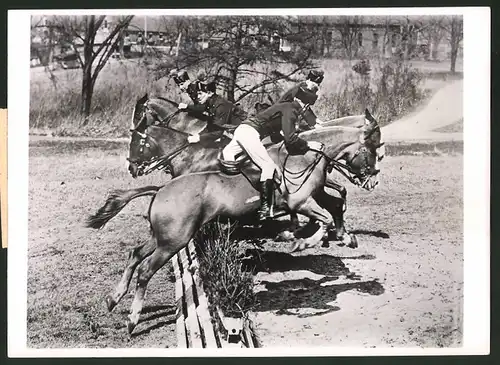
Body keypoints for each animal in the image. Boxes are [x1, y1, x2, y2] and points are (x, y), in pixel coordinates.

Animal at [86, 114, 382, 332]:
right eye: (371, 151)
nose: (372, 178)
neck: (306, 156)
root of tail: (160, 190)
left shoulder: (308, 199)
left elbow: (330, 212)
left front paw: (322, 237)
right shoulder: (301, 203)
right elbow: (323, 219)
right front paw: (301, 241)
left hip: (163, 237)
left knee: (135, 255)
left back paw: (114, 299)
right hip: (173, 240)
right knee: (145, 270)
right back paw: (132, 319)